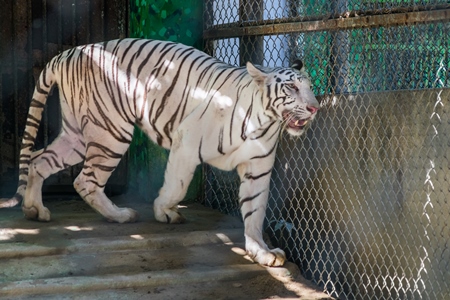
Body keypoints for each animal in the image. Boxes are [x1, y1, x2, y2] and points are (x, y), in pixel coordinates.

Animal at [0, 38, 318, 266]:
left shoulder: (258, 169)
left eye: (310, 87)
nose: (315, 107)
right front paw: (164, 212)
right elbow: (177, 185)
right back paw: (121, 216)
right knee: (84, 180)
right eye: (291, 87)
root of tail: (66, 54)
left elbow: (255, 211)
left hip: (77, 134)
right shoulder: (186, 143)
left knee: (39, 160)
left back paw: (35, 210)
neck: (264, 122)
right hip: (110, 131)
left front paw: (261, 252)